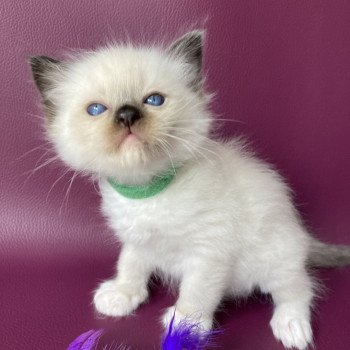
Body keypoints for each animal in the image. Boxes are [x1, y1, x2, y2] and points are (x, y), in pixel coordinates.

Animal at [29, 30, 350, 350]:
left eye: (154, 100)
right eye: (96, 109)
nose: (127, 114)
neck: (149, 192)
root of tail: (302, 235)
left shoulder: (207, 252)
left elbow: (195, 293)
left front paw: (185, 327)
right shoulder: (137, 241)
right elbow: (130, 266)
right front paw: (122, 295)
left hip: (275, 256)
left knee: (297, 289)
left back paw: (292, 328)